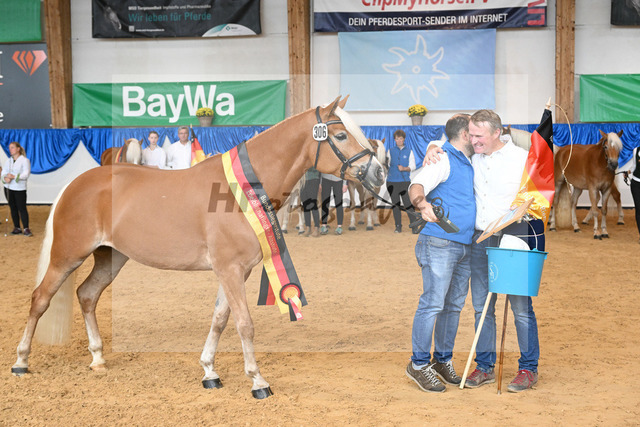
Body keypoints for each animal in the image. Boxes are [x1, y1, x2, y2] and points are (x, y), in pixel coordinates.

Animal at [11, 96, 386, 399]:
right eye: (340, 136)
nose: (379, 173)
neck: (242, 190)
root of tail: (75, 184)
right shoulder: (230, 269)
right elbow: (244, 323)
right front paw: (257, 381)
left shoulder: (236, 271)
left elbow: (220, 319)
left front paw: (209, 372)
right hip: (67, 256)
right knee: (40, 299)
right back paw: (21, 362)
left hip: (111, 257)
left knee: (87, 295)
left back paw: (98, 357)